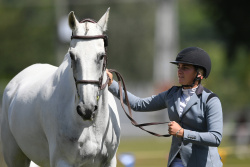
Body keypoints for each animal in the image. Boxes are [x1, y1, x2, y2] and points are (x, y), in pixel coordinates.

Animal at [0, 9, 121, 167]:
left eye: (101, 55)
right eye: (72, 55)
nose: (86, 109)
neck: (89, 126)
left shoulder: (109, 161)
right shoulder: (62, 161)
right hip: (15, 156)